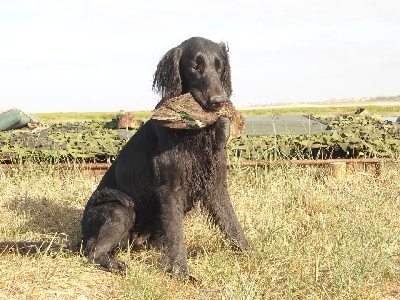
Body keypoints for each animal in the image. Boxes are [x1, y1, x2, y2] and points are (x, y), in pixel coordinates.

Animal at [80, 37, 250, 276]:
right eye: (194, 66)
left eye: (219, 66)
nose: (219, 101)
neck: (194, 134)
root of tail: (81, 237)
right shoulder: (169, 188)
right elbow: (176, 233)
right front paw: (180, 271)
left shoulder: (215, 183)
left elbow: (231, 222)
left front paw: (251, 255)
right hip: (119, 208)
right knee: (92, 253)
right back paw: (119, 265)